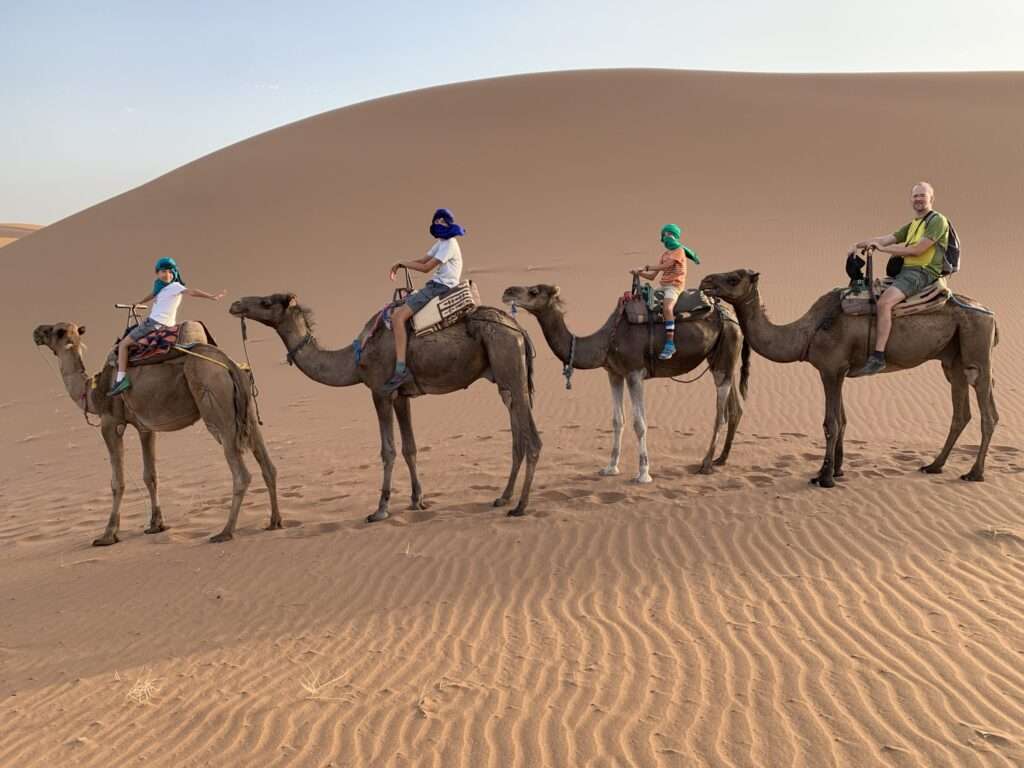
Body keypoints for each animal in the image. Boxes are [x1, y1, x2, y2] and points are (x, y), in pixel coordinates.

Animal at [33, 321, 280, 544]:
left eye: (56, 331)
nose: (36, 331)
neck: (93, 392)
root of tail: (228, 363)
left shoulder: (110, 423)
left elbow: (117, 482)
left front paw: (107, 535)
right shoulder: (145, 427)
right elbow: (150, 475)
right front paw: (156, 524)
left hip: (217, 408)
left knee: (241, 474)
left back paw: (225, 532)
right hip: (246, 407)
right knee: (267, 463)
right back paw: (274, 521)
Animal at [228, 294, 540, 524]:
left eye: (266, 302)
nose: (236, 304)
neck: (354, 361)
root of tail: (519, 329)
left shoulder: (379, 391)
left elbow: (388, 450)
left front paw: (380, 509)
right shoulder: (401, 396)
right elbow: (410, 447)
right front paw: (417, 500)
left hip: (508, 361)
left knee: (532, 439)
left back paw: (521, 506)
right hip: (505, 377)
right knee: (518, 435)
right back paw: (503, 497)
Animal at [499, 286, 749, 481]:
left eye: (534, 291)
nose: (507, 291)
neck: (605, 341)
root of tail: (732, 317)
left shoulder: (634, 373)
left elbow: (640, 423)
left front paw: (644, 473)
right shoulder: (614, 374)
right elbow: (617, 420)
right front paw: (610, 467)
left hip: (725, 352)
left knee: (721, 412)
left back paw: (705, 463)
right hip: (721, 358)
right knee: (735, 407)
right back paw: (721, 459)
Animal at [700, 270, 995, 487]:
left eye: (733, 278)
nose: (706, 282)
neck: (807, 333)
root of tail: (990, 313)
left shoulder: (830, 370)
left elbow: (830, 422)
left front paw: (825, 477)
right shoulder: (838, 371)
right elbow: (841, 420)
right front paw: (835, 470)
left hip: (977, 349)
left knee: (987, 411)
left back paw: (974, 473)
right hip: (952, 360)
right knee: (961, 412)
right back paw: (934, 466)